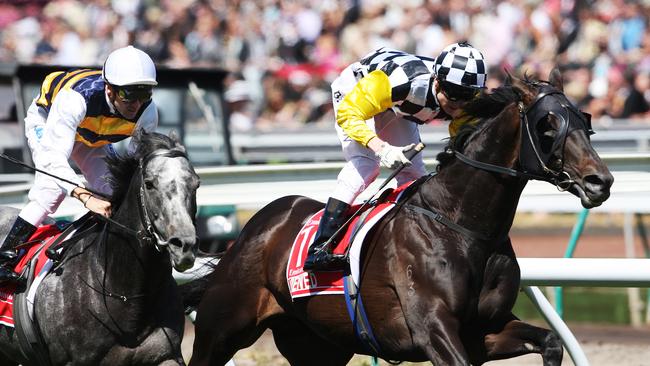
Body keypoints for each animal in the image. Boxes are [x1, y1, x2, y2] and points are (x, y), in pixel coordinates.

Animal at [189, 70, 612, 364]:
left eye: (584, 120)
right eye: (548, 125)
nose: (601, 181)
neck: (463, 226)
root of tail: (256, 227)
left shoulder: (484, 330)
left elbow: (552, 340)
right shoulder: (433, 330)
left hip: (316, 343)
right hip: (220, 329)